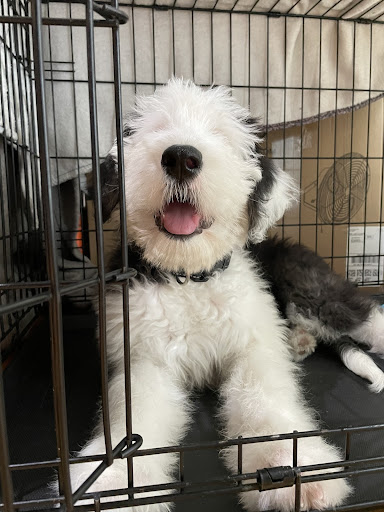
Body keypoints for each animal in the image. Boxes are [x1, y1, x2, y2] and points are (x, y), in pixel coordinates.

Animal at [66, 80, 352, 512]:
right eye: (155, 128)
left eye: (221, 134)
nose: (181, 157)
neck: (190, 277)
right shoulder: (143, 357)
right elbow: (136, 419)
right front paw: (118, 485)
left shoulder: (253, 342)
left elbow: (263, 397)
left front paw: (290, 465)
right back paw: (300, 341)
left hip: (311, 291)